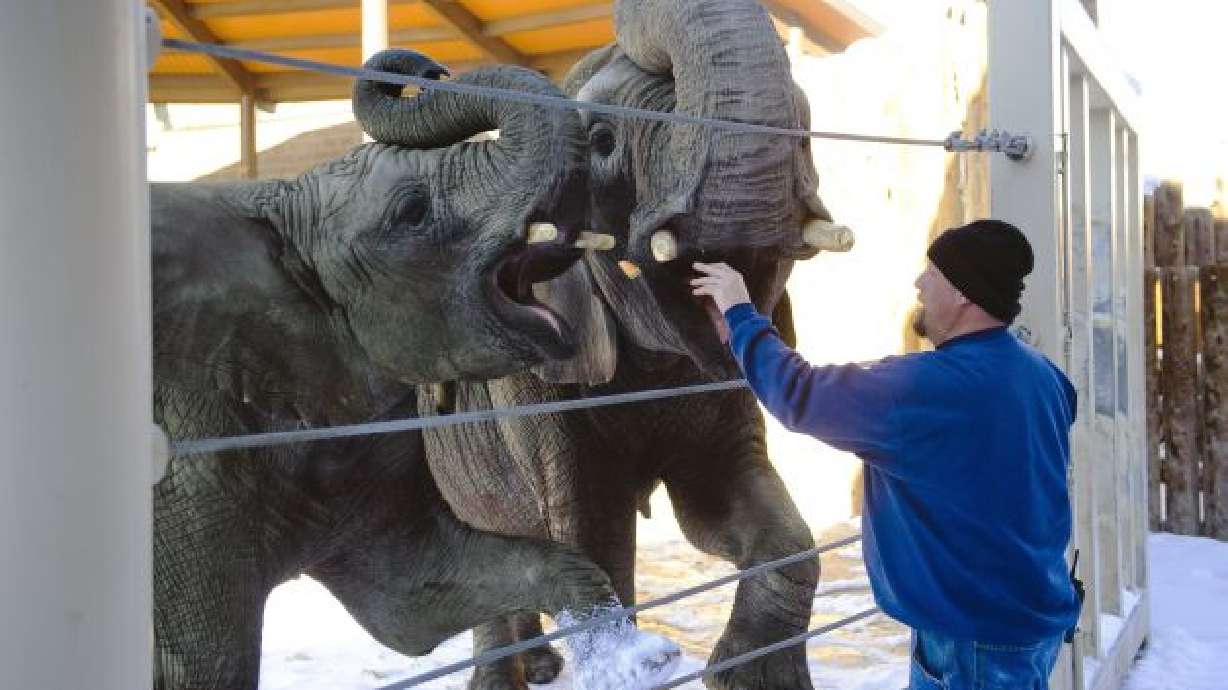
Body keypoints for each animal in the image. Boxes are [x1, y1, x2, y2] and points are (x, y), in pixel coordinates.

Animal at [150, 52, 680, 690]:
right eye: (411, 212)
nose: (427, 69)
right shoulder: (185, 469)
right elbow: (209, 659)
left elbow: (412, 601)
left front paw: (639, 658)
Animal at [405, 1, 849, 688]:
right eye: (601, 143)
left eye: (804, 130)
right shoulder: (536, 376)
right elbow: (593, 534)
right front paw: (633, 662)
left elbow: (728, 510)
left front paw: (741, 672)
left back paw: (540, 666)